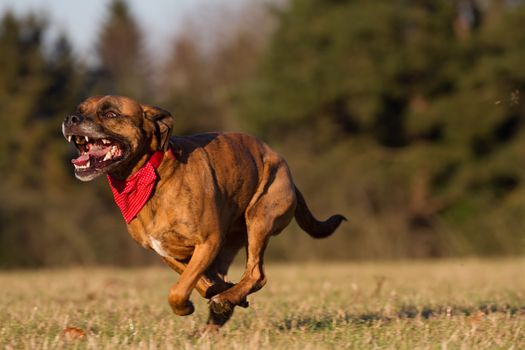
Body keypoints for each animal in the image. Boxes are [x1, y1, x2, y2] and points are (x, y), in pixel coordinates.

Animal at [61, 95, 346, 328]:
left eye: (110, 114)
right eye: (79, 110)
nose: (71, 118)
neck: (150, 174)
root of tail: (287, 171)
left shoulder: (207, 242)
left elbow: (179, 289)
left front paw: (188, 305)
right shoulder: (168, 252)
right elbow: (197, 281)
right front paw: (219, 293)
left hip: (259, 218)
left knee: (256, 273)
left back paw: (226, 299)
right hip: (232, 241)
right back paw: (224, 303)